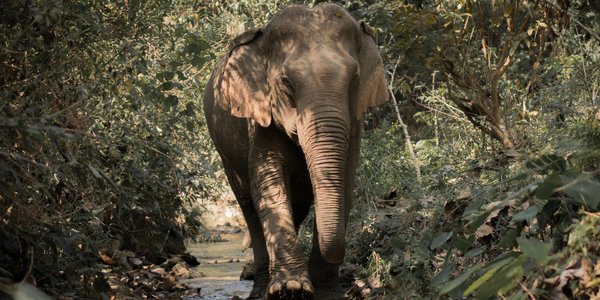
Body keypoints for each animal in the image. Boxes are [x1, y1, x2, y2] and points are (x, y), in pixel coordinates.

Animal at [203, 2, 390, 300]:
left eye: (354, 79)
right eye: (286, 82)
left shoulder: (355, 126)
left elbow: (346, 182)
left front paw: (327, 294)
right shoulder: (260, 120)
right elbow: (268, 182)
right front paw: (290, 289)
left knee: (298, 206)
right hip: (224, 153)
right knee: (249, 206)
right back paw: (260, 290)